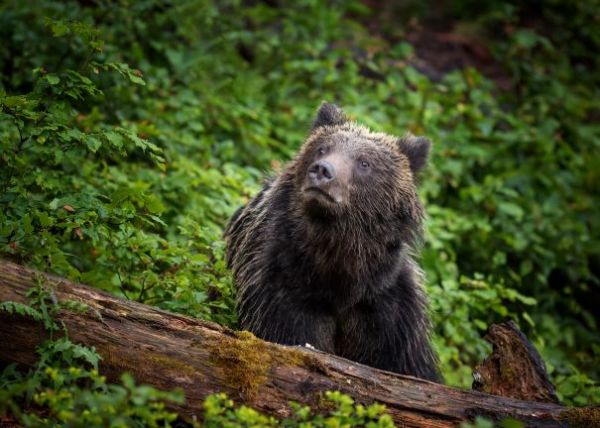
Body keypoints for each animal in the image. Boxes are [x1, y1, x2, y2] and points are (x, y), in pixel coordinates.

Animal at [225, 103, 440, 382]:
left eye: (364, 162)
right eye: (323, 148)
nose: (322, 170)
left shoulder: (387, 309)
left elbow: (403, 362)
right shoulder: (282, 286)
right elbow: (289, 334)